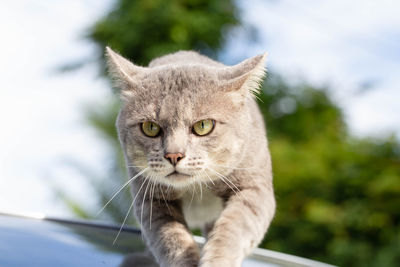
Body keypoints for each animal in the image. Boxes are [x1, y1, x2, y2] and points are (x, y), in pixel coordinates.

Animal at [105, 47, 276, 266]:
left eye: (203, 125)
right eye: (150, 127)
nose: (173, 155)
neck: (197, 189)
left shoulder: (254, 189)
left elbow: (232, 230)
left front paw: (216, 260)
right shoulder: (151, 200)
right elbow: (172, 240)